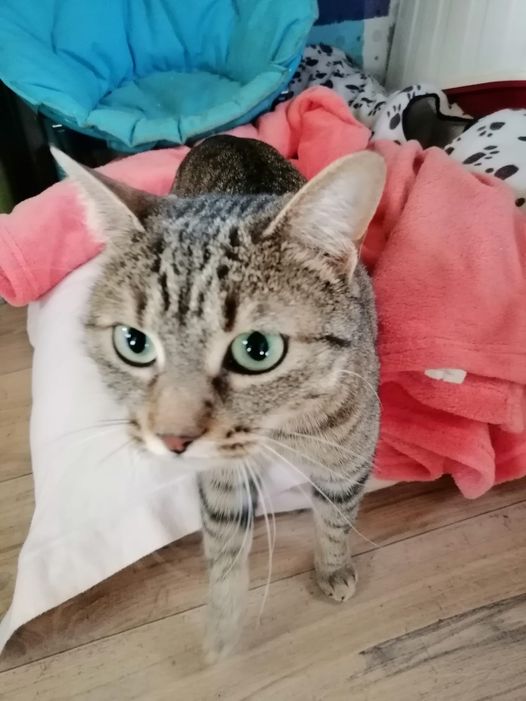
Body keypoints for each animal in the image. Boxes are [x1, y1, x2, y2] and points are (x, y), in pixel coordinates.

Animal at [52, 136, 385, 661]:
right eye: (133, 342)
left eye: (258, 349)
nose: (172, 439)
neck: (281, 428)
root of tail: (227, 137)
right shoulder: (222, 479)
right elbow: (225, 547)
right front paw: (224, 628)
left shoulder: (347, 459)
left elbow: (336, 521)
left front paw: (333, 570)